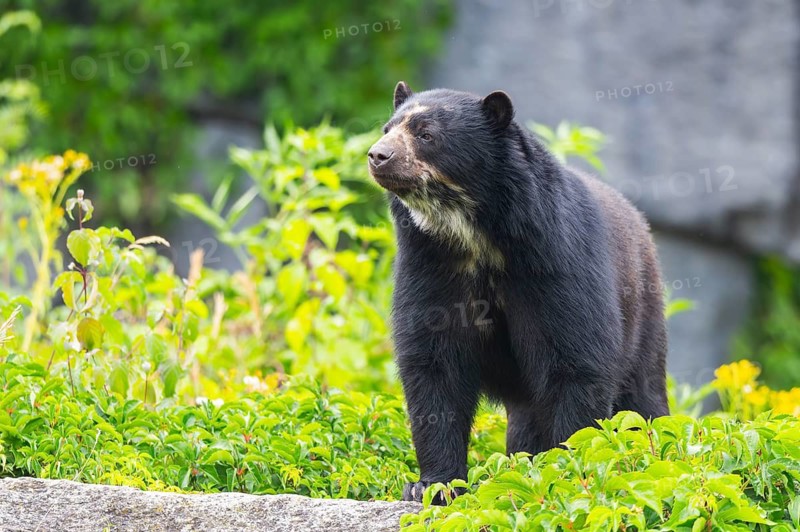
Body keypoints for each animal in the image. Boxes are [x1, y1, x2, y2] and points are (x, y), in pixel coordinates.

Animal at [367, 81, 669, 503]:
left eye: (426, 134)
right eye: (387, 128)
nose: (378, 156)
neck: (475, 235)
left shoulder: (555, 259)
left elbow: (575, 361)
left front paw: (568, 467)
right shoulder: (430, 265)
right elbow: (434, 365)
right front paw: (431, 485)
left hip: (643, 312)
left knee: (643, 394)